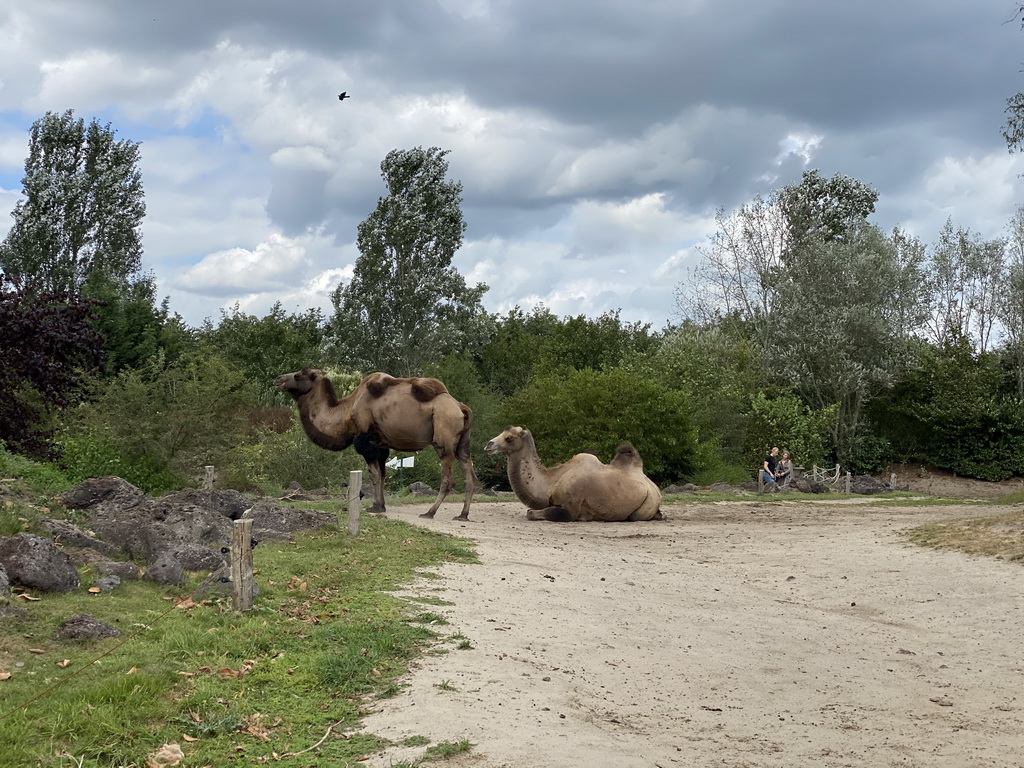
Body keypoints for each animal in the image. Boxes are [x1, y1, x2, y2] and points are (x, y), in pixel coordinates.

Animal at [274, 368, 477, 524]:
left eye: (298, 375)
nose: (278, 379)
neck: (347, 411)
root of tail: (460, 407)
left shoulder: (366, 440)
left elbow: (374, 475)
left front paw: (376, 507)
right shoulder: (381, 444)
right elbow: (383, 474)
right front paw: (381, 505)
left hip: (444, 435)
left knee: (448, 478)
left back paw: (429, 512)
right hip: (463, 443)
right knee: (469, 475)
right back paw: (463, 515)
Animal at [481, 428, 659, 524]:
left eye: (509, 438)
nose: (488, 445)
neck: (551, 481)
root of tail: (654, 487)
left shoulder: (570, 508)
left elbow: (531, 513)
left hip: (647, 503)